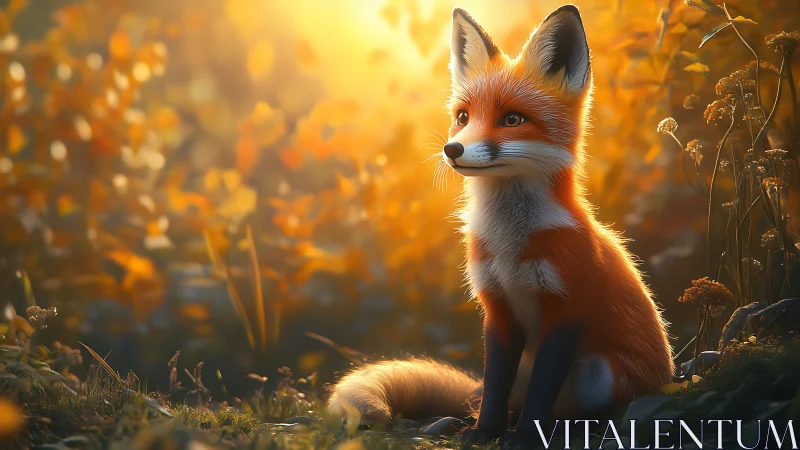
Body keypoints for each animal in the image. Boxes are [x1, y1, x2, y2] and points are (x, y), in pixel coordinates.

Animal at [328, 4, 674, 447]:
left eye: (512, 119)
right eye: (463, 117)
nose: (452, 149)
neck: (511, 245)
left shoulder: (568, 309)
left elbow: (543, 387)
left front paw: (525, 436)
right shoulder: (497, 306)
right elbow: (494, 385)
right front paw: (485, 432)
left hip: (599, 370)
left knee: (584, 407)